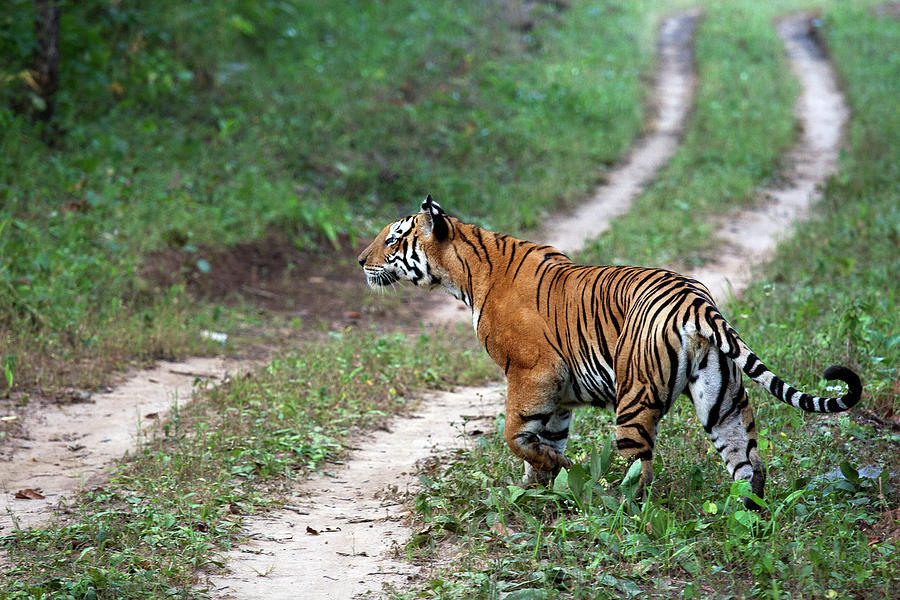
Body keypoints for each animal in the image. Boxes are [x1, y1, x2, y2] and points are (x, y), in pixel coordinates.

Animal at [358, 196, 862, 509]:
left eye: (392, 239)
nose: (360, 262)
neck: (463, 275)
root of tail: (696, 300)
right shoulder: (557, 392)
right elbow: (545, 440)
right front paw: (540, 489)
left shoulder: (531, 372)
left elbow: (515, 436)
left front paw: (561, 472)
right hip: (723, 403)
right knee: (749, 465)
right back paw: (744, 519)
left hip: (633, 399)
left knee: (639, 471)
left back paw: (616, 507)